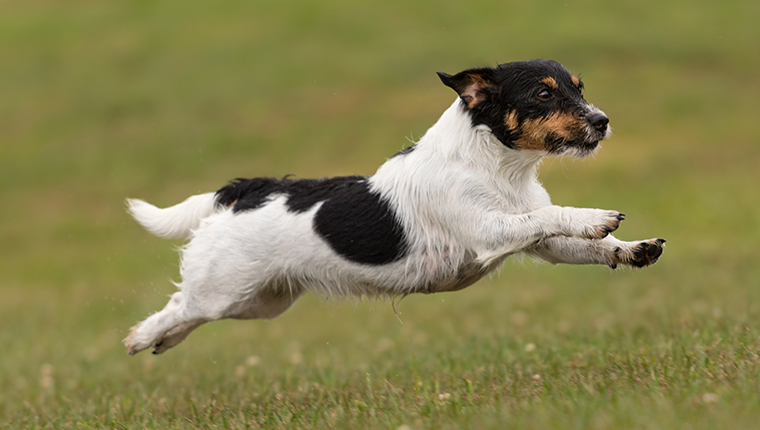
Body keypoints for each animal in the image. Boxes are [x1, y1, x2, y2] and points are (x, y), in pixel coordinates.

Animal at [124, 60, 664, 356]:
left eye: (579, 88)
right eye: (544, 92)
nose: (602, 120)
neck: (497, 166)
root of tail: (251, 190)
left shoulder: (541, 245)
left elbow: (585, 245)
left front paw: (632, 247)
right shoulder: (489, 232)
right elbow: (551, 216)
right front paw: (593, 216)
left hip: (260, 300)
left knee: (188, 316)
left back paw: (163, 341)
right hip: (222, 288)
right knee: (178, 305)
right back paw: (140, 336)